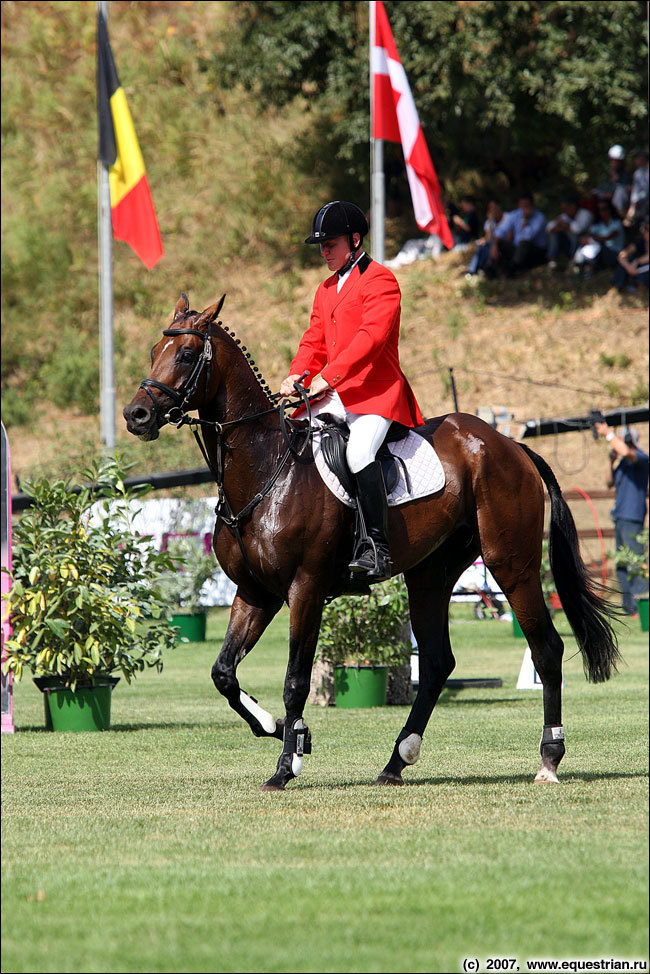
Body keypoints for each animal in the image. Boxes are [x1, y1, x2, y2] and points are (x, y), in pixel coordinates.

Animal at [123, 296, 616, 792]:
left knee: (546, 649)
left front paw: (286, 765)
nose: (135, 415)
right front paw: (283, 731)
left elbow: (295, 680)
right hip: (430, 575)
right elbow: (223, 673)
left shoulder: (305, 589)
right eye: (153, 352)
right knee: (436, 663)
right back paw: (397, 761)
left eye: (187, 355)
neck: (267, 468)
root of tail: (509, 445)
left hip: (511, 565)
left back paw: (549, 759)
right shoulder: (255, 592)